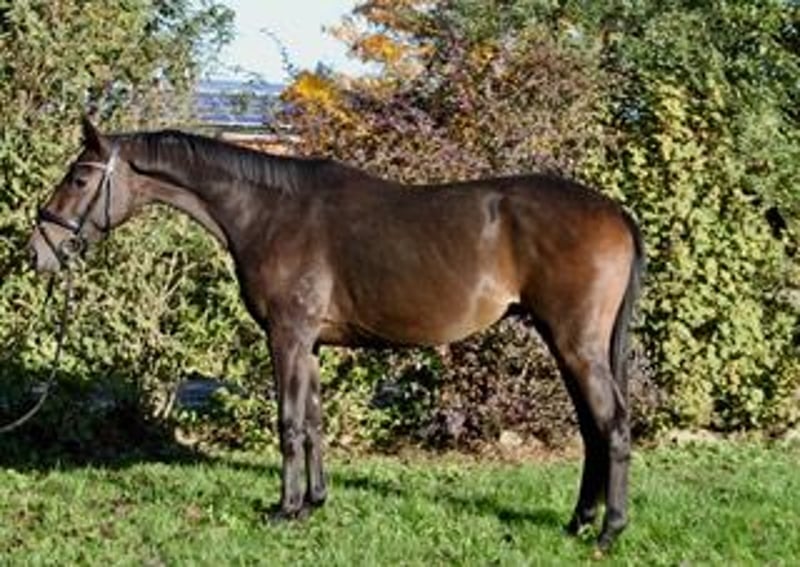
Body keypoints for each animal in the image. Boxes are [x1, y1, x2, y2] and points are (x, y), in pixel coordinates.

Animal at [27, 117, 644, 550]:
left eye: (79, 177)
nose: (40, 250)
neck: (268, 212)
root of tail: (615, 211)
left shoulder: (286, 336)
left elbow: (289, 424)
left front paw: (284, 509)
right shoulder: (311, 345)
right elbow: (315, 424)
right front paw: (314, 502)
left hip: (576, 345)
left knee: (612, 425)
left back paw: (609, 530)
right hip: (567, 346)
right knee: (592, 431)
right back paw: (577, 522)